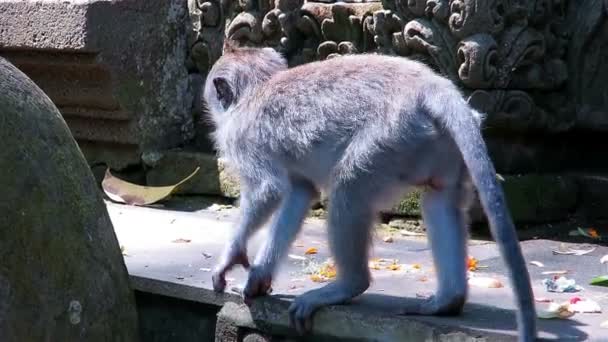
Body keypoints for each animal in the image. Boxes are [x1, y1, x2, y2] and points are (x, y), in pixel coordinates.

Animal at [204, 44, 536, 340]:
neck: (257, 88)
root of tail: (432, 86)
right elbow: (300, 193)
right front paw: (259, 276)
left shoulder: (243, 138)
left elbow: (267, 191)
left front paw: (230, 258)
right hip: (437, 146)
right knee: (439, 197)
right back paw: (447, 301)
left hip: (391, 137)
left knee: (349, 186)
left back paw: (348, 285)